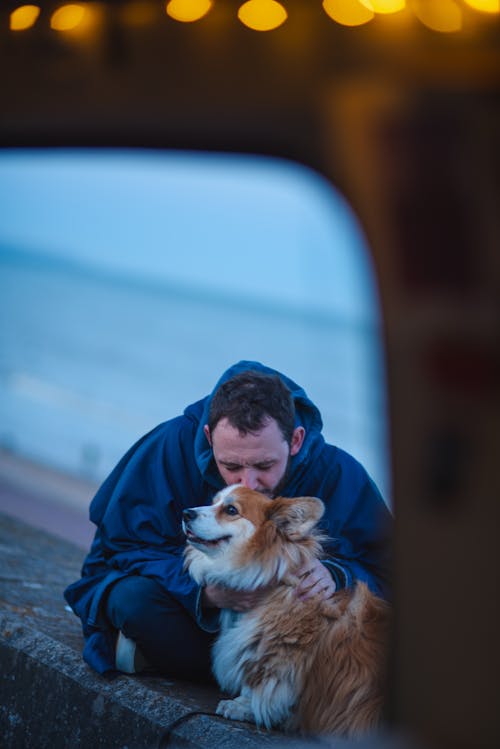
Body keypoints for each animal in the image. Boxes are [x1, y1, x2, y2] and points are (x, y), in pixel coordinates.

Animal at [182, 486, 388, 736]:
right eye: (213, 502)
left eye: (231, 510)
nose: (185, 513)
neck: (273, 585)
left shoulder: (280, 655)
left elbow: (266, 687)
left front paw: (242, 707)